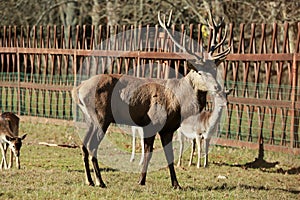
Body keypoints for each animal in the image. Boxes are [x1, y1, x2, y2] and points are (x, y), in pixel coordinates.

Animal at [72, 10, 230, 189]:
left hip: (89, 119)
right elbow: (149, 154)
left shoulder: (168, 129)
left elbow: (168, 157)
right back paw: (100, 181)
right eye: (199, 71)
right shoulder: (153, 122)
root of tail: (77, 90)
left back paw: (90, 180)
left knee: (83, 145)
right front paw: (142, 181)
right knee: (92, 147)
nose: (217, 87)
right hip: (101, 117)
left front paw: (175, 184)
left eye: (214, 69)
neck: (179, 101)